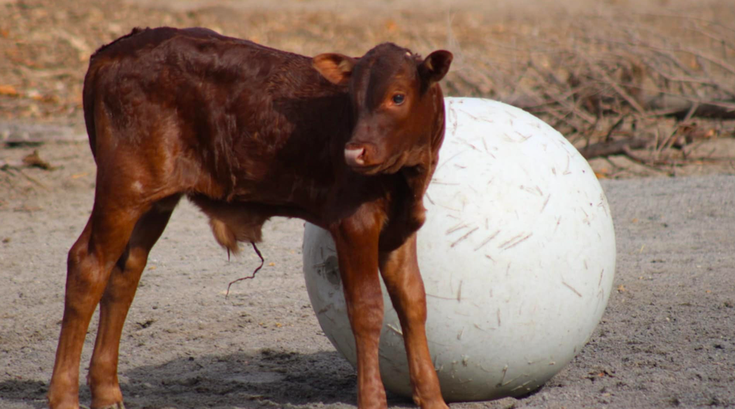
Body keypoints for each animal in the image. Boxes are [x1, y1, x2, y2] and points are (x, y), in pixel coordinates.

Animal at [49, 26, 452, 408]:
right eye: (352, 100)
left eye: (398, 96)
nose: (354, 152)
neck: (405, 180)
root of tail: (113, 49)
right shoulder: (354, 223)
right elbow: (367, 309)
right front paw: (372, 399)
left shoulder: (400, 229)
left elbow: (413, 302)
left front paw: (433, 398)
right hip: (124, 185)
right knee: (88, 264)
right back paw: (65, 396)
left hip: (154, 199)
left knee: (124, 272)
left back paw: (106, 391)